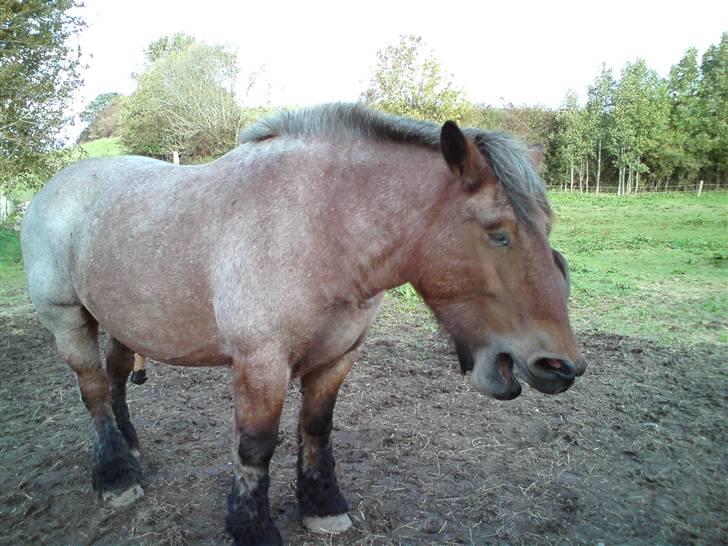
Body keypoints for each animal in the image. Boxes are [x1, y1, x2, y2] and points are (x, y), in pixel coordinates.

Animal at [21, 101, 584, 540]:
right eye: (498, 233)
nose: (560, 366)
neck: (320, 228)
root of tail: (53, 186)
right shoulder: (261, 362)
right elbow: (255, 444)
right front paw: (251, 527)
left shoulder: (338, 356)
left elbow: (316, 426)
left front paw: (322, 505)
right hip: (69, 320)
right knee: (94, 389)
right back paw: (116, 475)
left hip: (120, 320)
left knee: (116, 379)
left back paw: (130, 447)